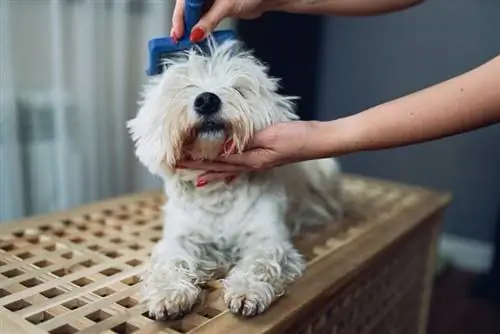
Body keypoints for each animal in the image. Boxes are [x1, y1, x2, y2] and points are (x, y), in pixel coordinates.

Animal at [127, 37, 342, 320]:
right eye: (184, 86)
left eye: (239, 89)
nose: (207, 100)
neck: (217, 193)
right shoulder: (181, 237)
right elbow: (171, 261)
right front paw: (168, 295)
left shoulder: (268, 238)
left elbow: (259, 263)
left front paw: (246, 293)